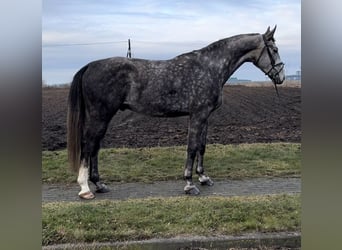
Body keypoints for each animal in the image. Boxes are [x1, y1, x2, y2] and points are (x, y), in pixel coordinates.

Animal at [67, 25, 286, 199]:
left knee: (95, 147)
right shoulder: (197, 115)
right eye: (274, 49)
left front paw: (203, 177)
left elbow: (202, 147)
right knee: (88, 145)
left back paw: (99, 184)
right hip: (100, 115)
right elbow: (191, 148)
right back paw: (85, 188)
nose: (281, 77)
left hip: (103, 116)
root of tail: (90, 65)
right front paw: (189, 184)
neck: (209, 67)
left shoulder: (205, 117)